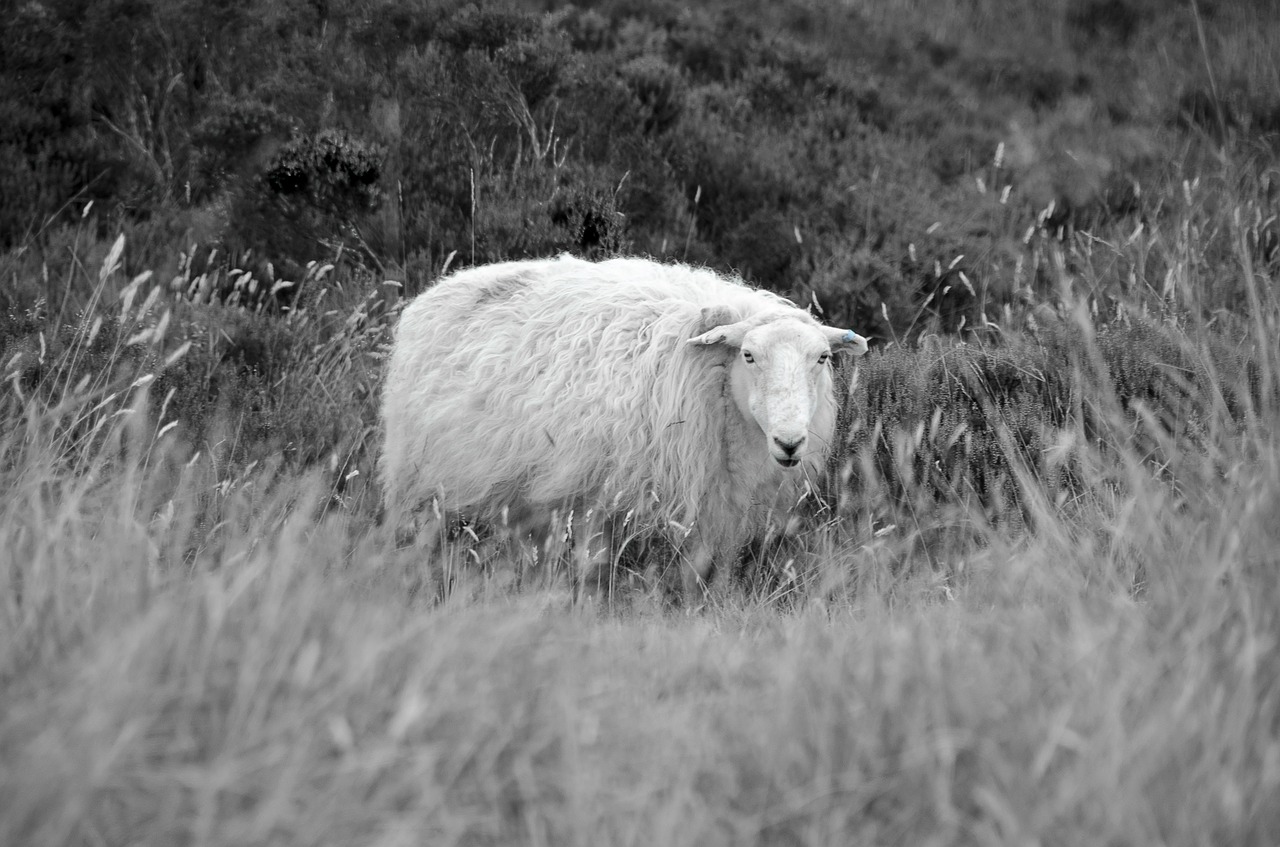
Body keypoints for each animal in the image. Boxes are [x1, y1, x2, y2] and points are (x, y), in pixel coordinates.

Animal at [373, 255, 865, 601]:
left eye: (822, 358)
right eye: (748, 356)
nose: (789, 442)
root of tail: (436, 290)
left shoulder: (722, 505)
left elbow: (709, 571)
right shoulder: (599, 495)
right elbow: (593, 569)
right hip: (415, 481)